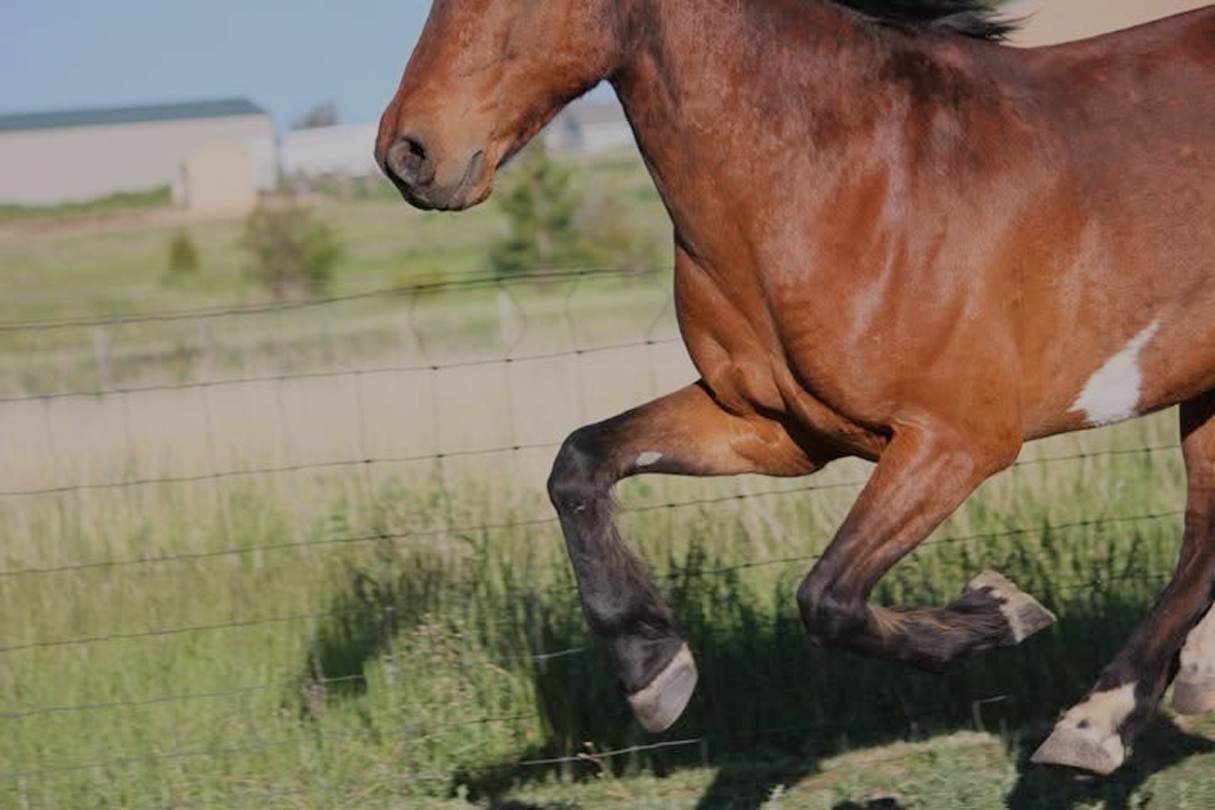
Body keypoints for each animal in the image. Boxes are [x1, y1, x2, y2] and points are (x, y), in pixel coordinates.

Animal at [375, 0, 1215, 775]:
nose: (407, 154)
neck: (848, 173)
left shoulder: (958, 440)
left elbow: (828, 599)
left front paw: (1001, 608)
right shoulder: (774, 429)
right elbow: (579, 464)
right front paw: (653, 671)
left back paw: (1096, 722)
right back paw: (1147, 700)